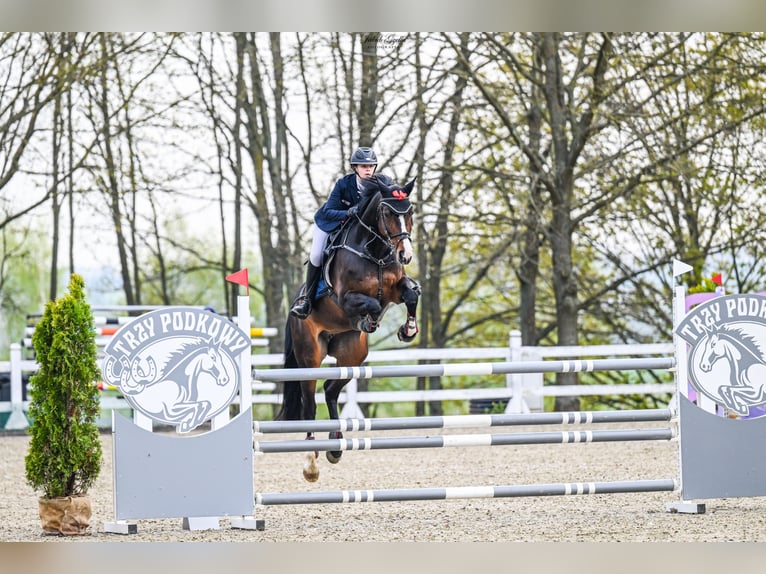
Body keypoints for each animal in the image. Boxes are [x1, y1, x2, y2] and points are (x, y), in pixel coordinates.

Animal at [278, 174, 421, 481]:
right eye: (388, 213)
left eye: (410, 212)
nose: (405, 255)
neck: (374, 252)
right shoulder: (346, 298)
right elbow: (374, 305)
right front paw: (371, 320)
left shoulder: (396, 290)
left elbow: (412, 294)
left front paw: (408, 330)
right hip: (310, 355)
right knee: (310, 402)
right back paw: (311, 462)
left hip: (351, 354)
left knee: (331, 390)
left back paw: (335, 446)